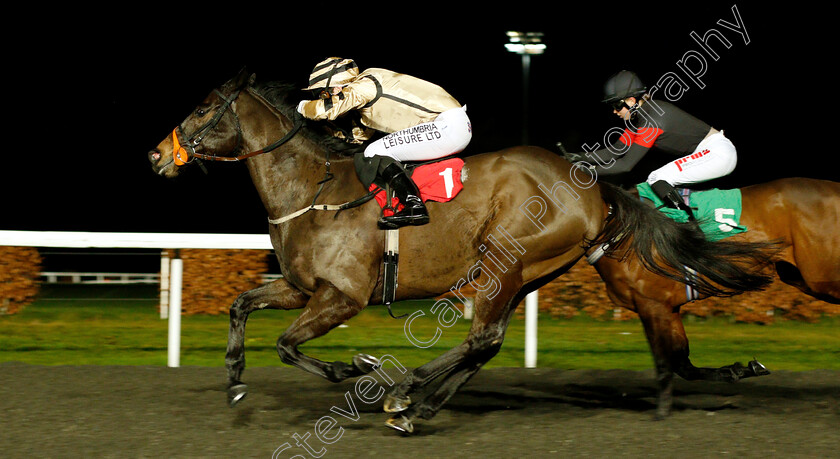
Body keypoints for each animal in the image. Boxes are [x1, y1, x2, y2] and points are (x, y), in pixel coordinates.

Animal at [146, 70, 780, 434]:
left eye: (201, 110)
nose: (156, 155)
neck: (313, 190)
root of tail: (592, 185)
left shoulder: (342, 297)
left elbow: (285, 345)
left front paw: (358, 367)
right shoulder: (303, 288)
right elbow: (241, 306)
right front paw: (234, 377)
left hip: (504, 259)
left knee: (482, 338)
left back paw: (404, 394)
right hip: (523, 272)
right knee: (486, 343)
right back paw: (417, 405)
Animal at [592, 179, 836, 420]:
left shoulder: (651, 304)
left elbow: (664, 362)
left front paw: (661, 413)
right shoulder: (667, 307)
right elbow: (682, 362)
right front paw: (739, 370)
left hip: (820, 275)